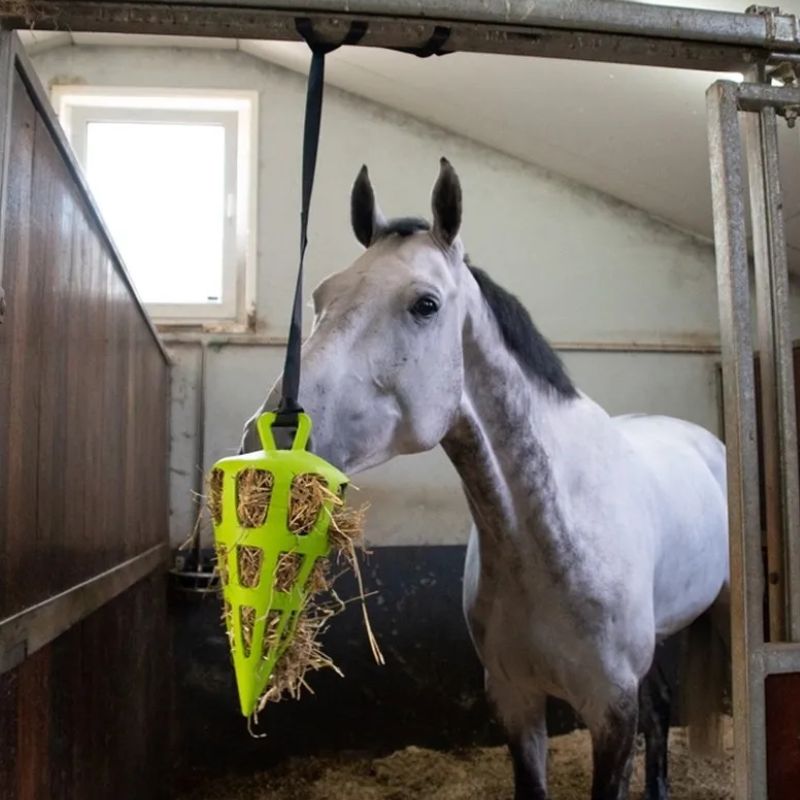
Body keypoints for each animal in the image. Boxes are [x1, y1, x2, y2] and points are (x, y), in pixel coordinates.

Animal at [240, 159, 731, 800]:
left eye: (425, 304)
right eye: (322, 295)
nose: (271, 438)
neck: (549, 534)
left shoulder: (610, 709)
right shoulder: (515, 699)